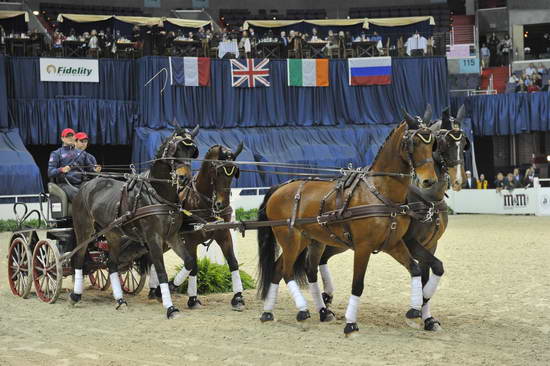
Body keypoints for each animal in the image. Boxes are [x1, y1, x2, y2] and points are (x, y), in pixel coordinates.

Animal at [71, 124, 201, 318]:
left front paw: (171, 287)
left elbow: (189, 262)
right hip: (84, 229)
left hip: (113, 234)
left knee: (111, 264)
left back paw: (120, 300)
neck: (159, 194)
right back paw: (76, 295)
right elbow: (161, 271)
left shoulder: (172, 236)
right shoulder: (153, 238)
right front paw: (170, 308)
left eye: (192, 151)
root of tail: (86, 185)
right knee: (79, 258)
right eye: (175, 150)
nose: (184, 178)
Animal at [149, 144, 248, 310]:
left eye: (234, 172)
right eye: (218, 171)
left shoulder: (223, 234)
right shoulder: (190, 240)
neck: (200, 200)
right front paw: (191, 298)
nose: (221, 205)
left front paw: (238, 297)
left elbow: (232, 262)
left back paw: (155, 289)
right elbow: (193, 266)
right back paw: (155, 290)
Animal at [258, 117, 440, 334]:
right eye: (414, 143)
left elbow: (415, 269)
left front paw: (414, 310)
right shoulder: (363, 247)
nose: (429, 180)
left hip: (309, 241)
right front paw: (351, 323)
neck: (380, 193)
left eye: (432, 143)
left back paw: (273, 312)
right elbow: (357, 284)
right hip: (290, 240)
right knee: (286, 272)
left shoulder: (393, 243)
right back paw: (302, 311)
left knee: (281, 270)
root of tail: (279, 187)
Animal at [320, 105, 470, 332]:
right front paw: (416, 309)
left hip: (341, 242)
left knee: (322, 258)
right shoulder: (410, 242)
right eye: (444, 143)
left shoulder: (431, 245)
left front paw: (427, 318)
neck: (426, 198)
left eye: (464, 144)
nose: (460, 180)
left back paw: (326, 301)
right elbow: (434, 268)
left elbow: (428, 274)